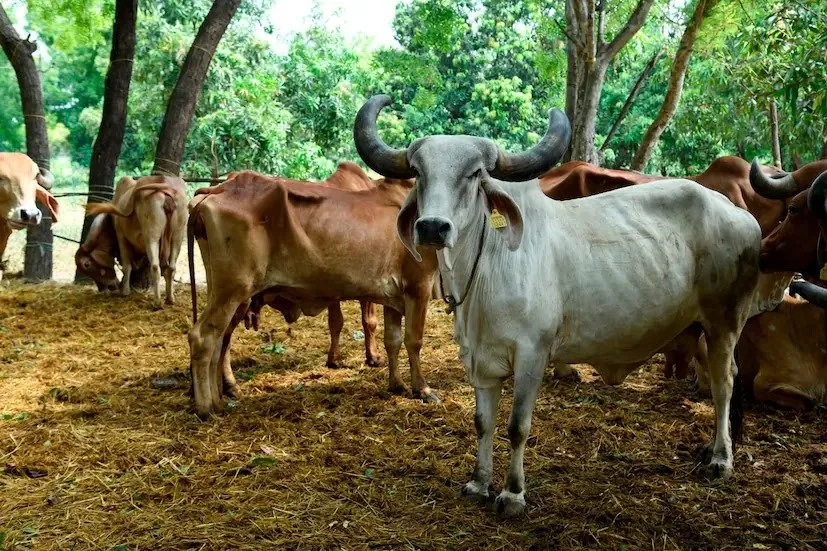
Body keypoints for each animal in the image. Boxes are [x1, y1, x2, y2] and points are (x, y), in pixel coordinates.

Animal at [76, 175, 187, 308]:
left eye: (87, 265)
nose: (104, 288)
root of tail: (164, 186)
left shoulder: (121, 236)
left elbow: (126, 266)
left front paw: (125, 291)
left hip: (151, 235)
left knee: (155, 267)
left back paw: (157, 302)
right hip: (177, 236)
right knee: (171, 268)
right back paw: (170, 299)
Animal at [187, 169, 439, 418]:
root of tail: (216, 190)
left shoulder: (393, 296)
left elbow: (392, 340)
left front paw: (397, 385)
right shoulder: (419, 285)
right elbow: (413, 340)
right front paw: (423, 389)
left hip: (223, 290)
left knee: (219, 340)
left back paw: (219, 399)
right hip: (234, 289)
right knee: (203, 337)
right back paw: (206, 408)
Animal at [354, 94, 761, 516]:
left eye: (474, 173)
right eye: (418, 172)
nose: (433, 227)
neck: (488, 270)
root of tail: (738, 213)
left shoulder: (532, 355)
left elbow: (517, 427)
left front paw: (513, 493)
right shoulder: (480, 361)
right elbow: (483, 422)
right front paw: (479, 483)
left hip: (725, 321)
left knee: (724, 383)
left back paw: (721, 459)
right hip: (703, 328)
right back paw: (712, 448)